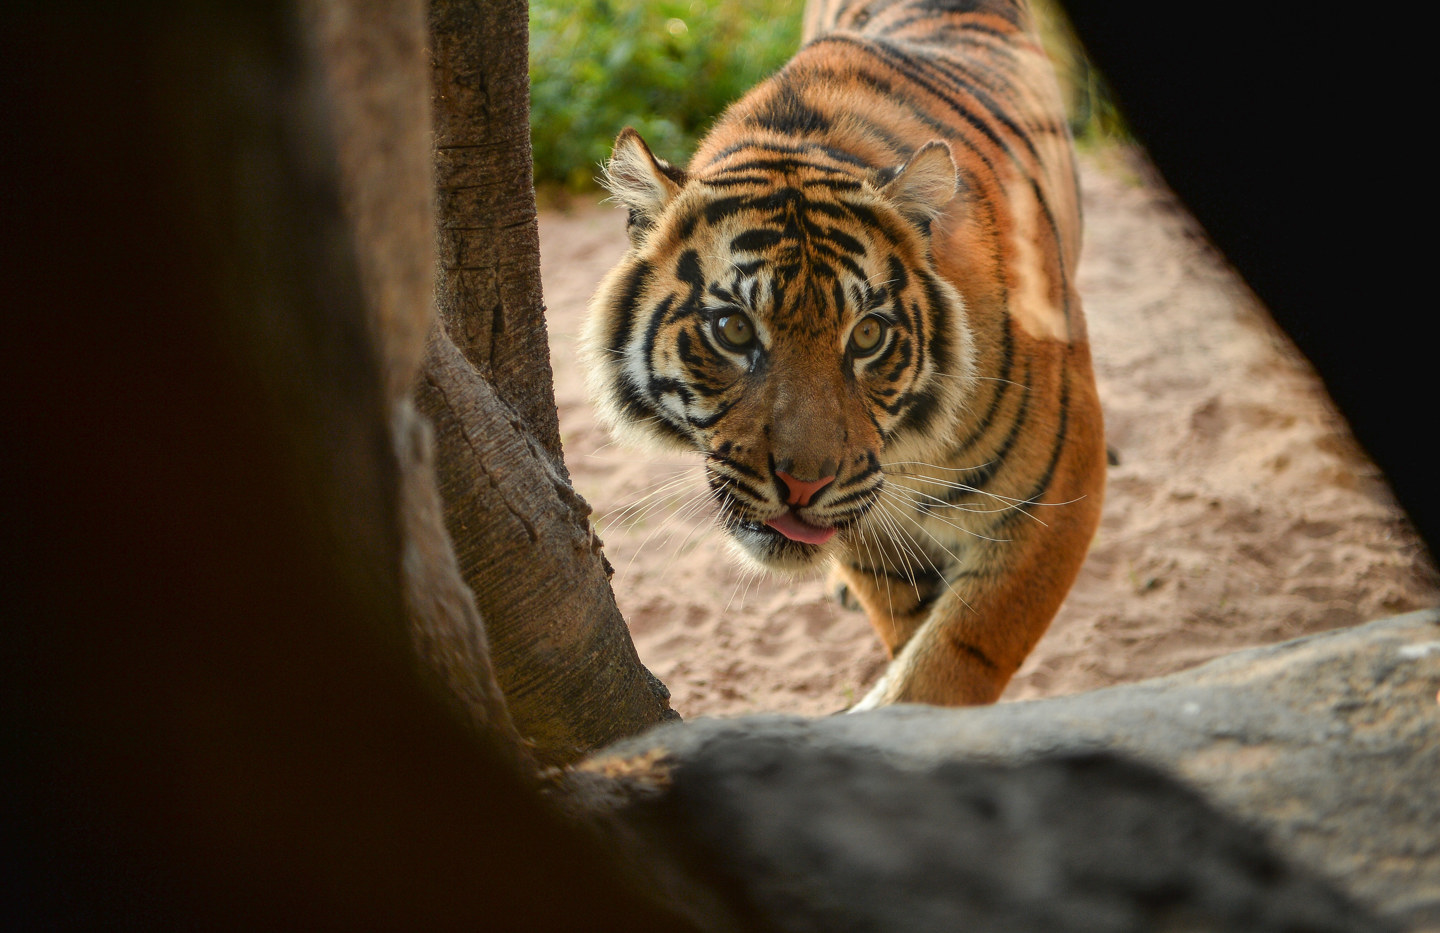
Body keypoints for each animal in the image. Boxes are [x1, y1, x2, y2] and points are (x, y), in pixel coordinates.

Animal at [581, 0, 1105, 708]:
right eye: (734, 329)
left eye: (867, 336)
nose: (805, 486)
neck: (909, 451)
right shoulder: (876, 535)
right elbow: (908, 634)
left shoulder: (1056, 497)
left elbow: (953, 660)